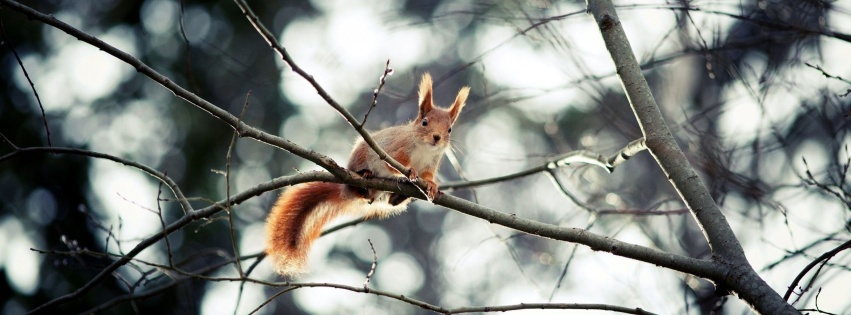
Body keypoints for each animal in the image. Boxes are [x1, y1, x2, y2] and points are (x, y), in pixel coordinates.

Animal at [264, 73, 470, 276]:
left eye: (449, 129)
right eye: (425, 122)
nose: (437, 137)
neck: (425, 148)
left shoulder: (430, 164)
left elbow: (427, 176)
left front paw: (432, 186)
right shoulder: (395, 150)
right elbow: (395, 164)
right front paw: (410, 171)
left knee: (389, 202)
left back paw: (398, 196)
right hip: (359, 161)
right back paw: (366, 175)